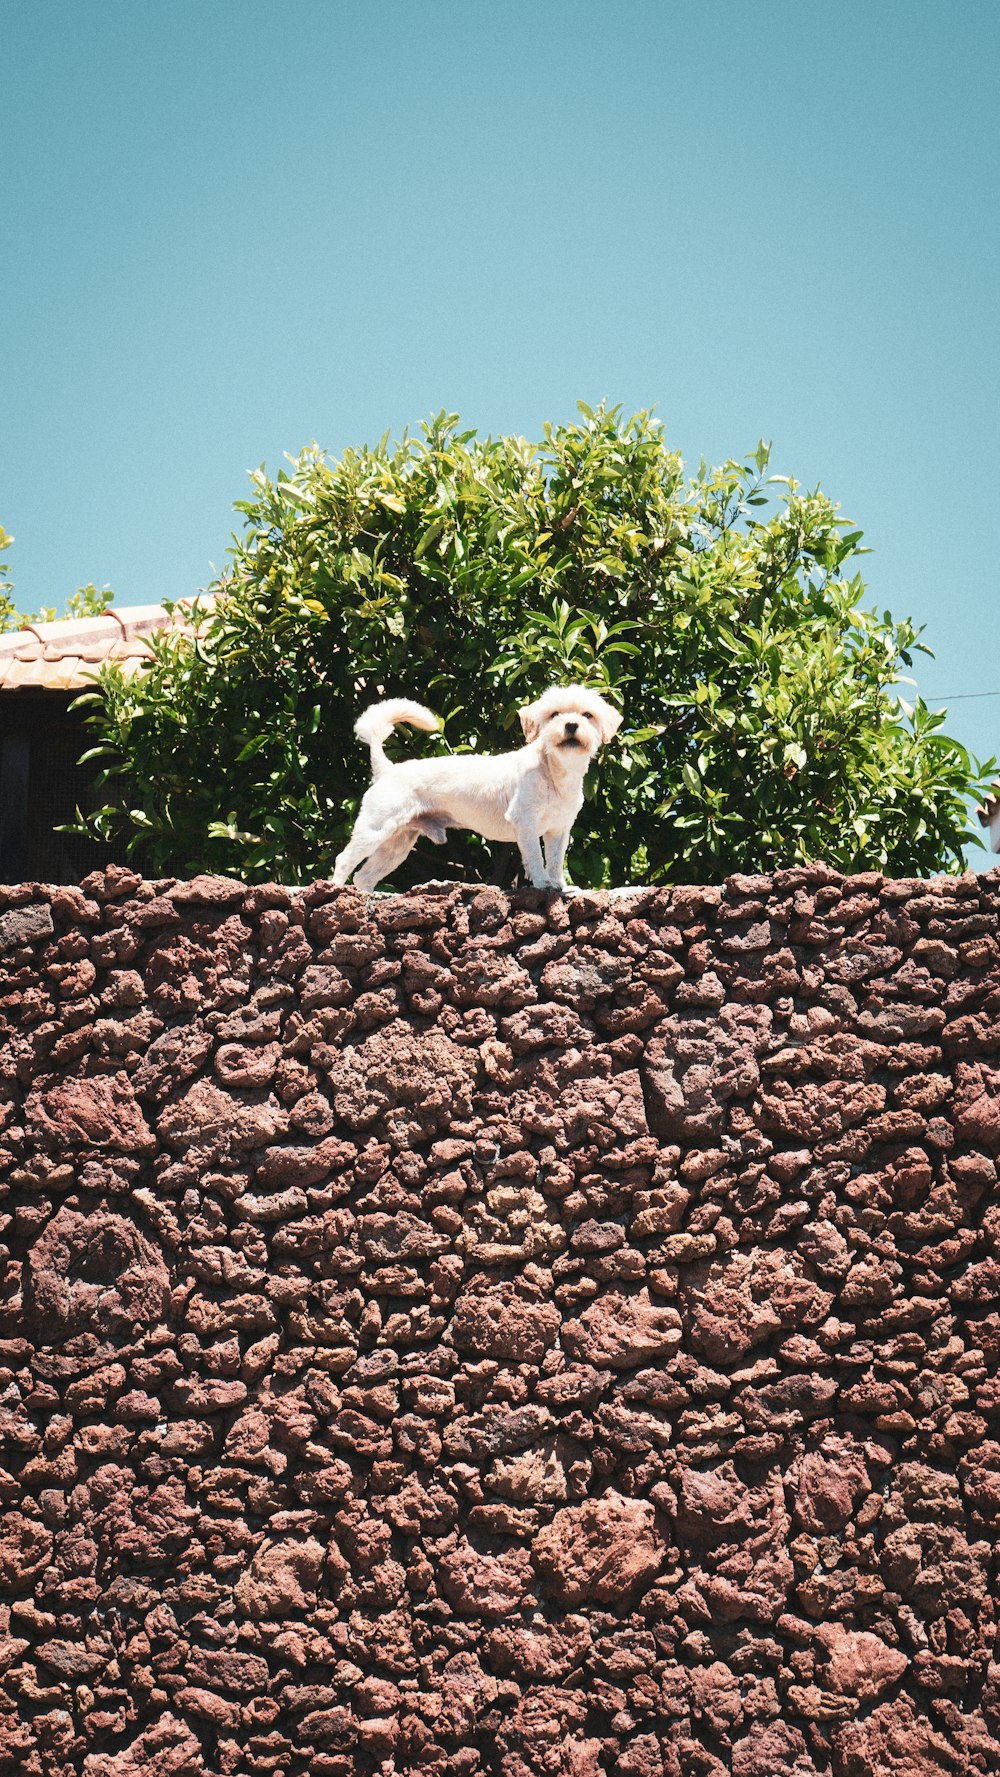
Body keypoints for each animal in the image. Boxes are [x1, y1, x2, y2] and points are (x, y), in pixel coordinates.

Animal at [332, 685, 621, 895]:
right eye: (554, 715)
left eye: (588, 715)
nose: (571, 725)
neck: (554, 773)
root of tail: (386, 769)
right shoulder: (525, 823)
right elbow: (536, 859)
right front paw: (542, 884)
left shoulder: (558, 830)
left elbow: (556, 860)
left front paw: (559, 885)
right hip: (375, 828)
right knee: (344, 861)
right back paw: (335, 890)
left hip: (398, 843)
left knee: (364, 876)